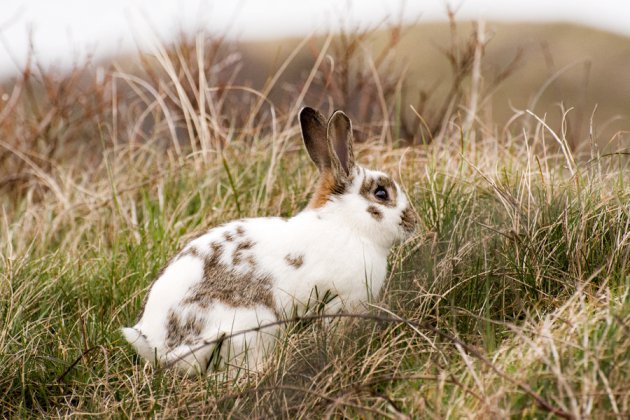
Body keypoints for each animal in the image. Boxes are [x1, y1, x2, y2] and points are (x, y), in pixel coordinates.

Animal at [123, 107, 420, 374]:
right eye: (381, 193)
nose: (413, 221)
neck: (346, 223)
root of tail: (159, 348)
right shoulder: (342, 299)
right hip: (254, 328)